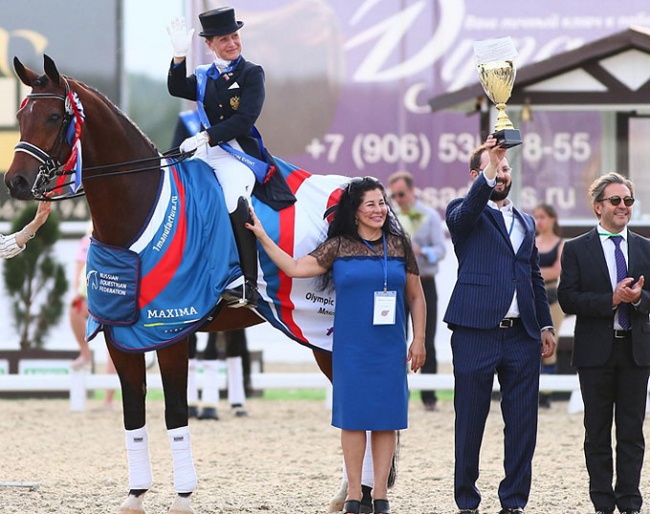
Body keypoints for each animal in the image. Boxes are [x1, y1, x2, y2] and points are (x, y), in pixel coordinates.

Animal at [3, 54, 380, 510]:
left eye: (55, 117)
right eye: (20, 116)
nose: (16, 183)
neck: (137, 208)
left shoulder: (170, 331)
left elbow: (175, 413)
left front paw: (183, 496)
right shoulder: (120, 336)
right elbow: (133, 415)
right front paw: (135, 495)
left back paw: (360, 493)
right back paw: (347, 494)